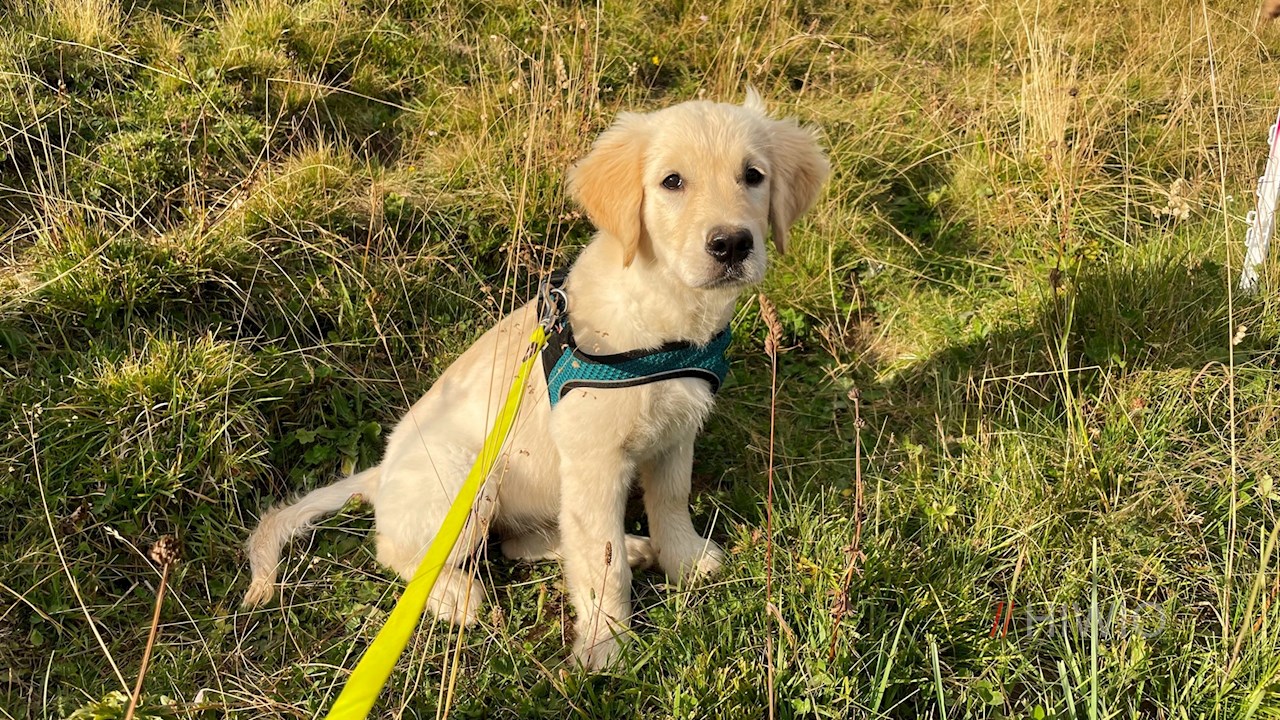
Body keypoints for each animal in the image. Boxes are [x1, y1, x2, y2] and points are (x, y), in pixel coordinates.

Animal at [242, 90, 829, 670]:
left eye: (752, 176)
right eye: (672, 182)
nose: (731, 245)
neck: (663, 317)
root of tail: (381, 473)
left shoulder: (675, 435)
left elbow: (670, 500)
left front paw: (682, 558)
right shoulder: (595, 461)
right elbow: (600, 563)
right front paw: (605, 644)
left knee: (524, 542)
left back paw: (632, 545)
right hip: (468, 483)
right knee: (400, 552)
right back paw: (454, 596)